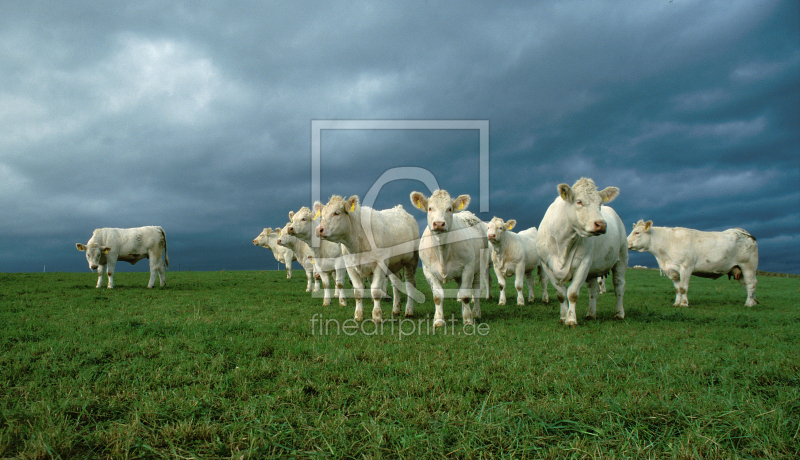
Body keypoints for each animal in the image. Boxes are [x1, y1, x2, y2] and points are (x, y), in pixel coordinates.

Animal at [314, 195, 418, 324]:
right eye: (322, 214)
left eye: (336, 213)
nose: (319, 229)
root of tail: (399, 208)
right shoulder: (350, 267)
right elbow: (358, 292)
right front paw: (358, 315)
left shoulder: (380, 265)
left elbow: (376, 291)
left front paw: (377, 316)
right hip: (394, 264)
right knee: (396, 284)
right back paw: (395, 309)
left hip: (412, 260)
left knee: (410, 283)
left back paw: (409, 311)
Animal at [410, 190, 490, 328]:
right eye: (430, 208)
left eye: (449, 209)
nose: (438, 224)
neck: (442, 252)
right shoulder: (428, 271)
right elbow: (438, 296)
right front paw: (438, 320)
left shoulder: (468, 268)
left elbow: (465, 295)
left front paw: (468, 320)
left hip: (480, 267)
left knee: (476, 289)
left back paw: (475, 313)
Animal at [536, 177, 628, 328]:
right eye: (579, 201)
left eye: (600, 203)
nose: (601, 224)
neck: (563, 242)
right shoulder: (546, 265)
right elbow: (561, 294)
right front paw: (563, 317)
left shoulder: (583, 262)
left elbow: (572, 293)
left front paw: (571, 320)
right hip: (593, 269)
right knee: (593, 290)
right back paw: (591, 314)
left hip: (621, 257)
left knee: (619, 285)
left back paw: (619, 313)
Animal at [628, 220, 760, 308]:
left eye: (637, 232)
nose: (626, 243)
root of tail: (742, 231)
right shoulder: (672, 270)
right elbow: (677, 288)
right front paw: (676, 303)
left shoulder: (686, 267)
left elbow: (683, 288)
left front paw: (684, 304)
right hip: (738, 269)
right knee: (746, 285)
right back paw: (753, 301)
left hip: (748, 266)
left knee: (751, 284)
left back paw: (748, 304)